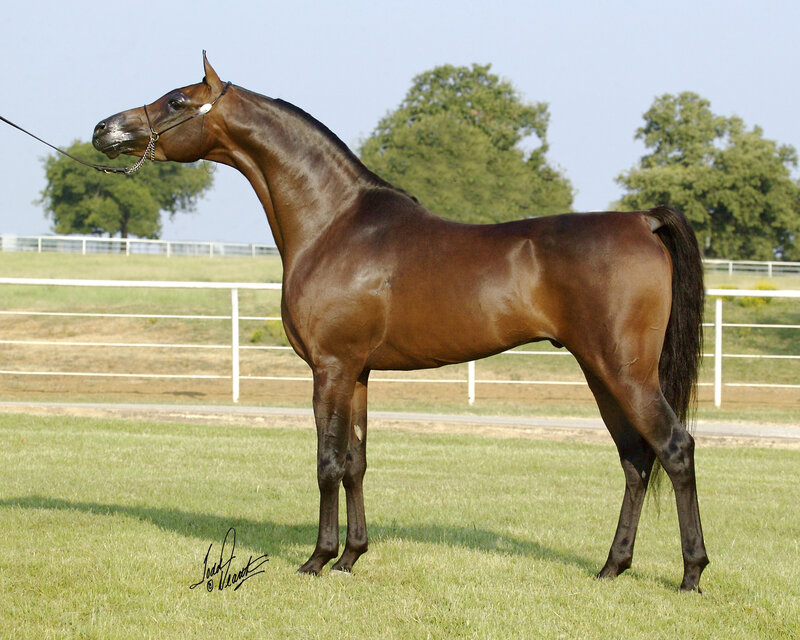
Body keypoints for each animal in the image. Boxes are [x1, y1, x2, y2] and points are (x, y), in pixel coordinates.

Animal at [92, 53, 709, 591]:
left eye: (176, 99)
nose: (104, 129)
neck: (336, 223)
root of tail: (642, 221)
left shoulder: (330, 368)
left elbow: (327, 462)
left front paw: (317, 560)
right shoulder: (359, 373)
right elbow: (356, 462)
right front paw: (351, 557)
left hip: (625, 372)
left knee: (674, 449)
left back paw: (691, 574)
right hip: (600, 372)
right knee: (636, 459)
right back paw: (612, 567)